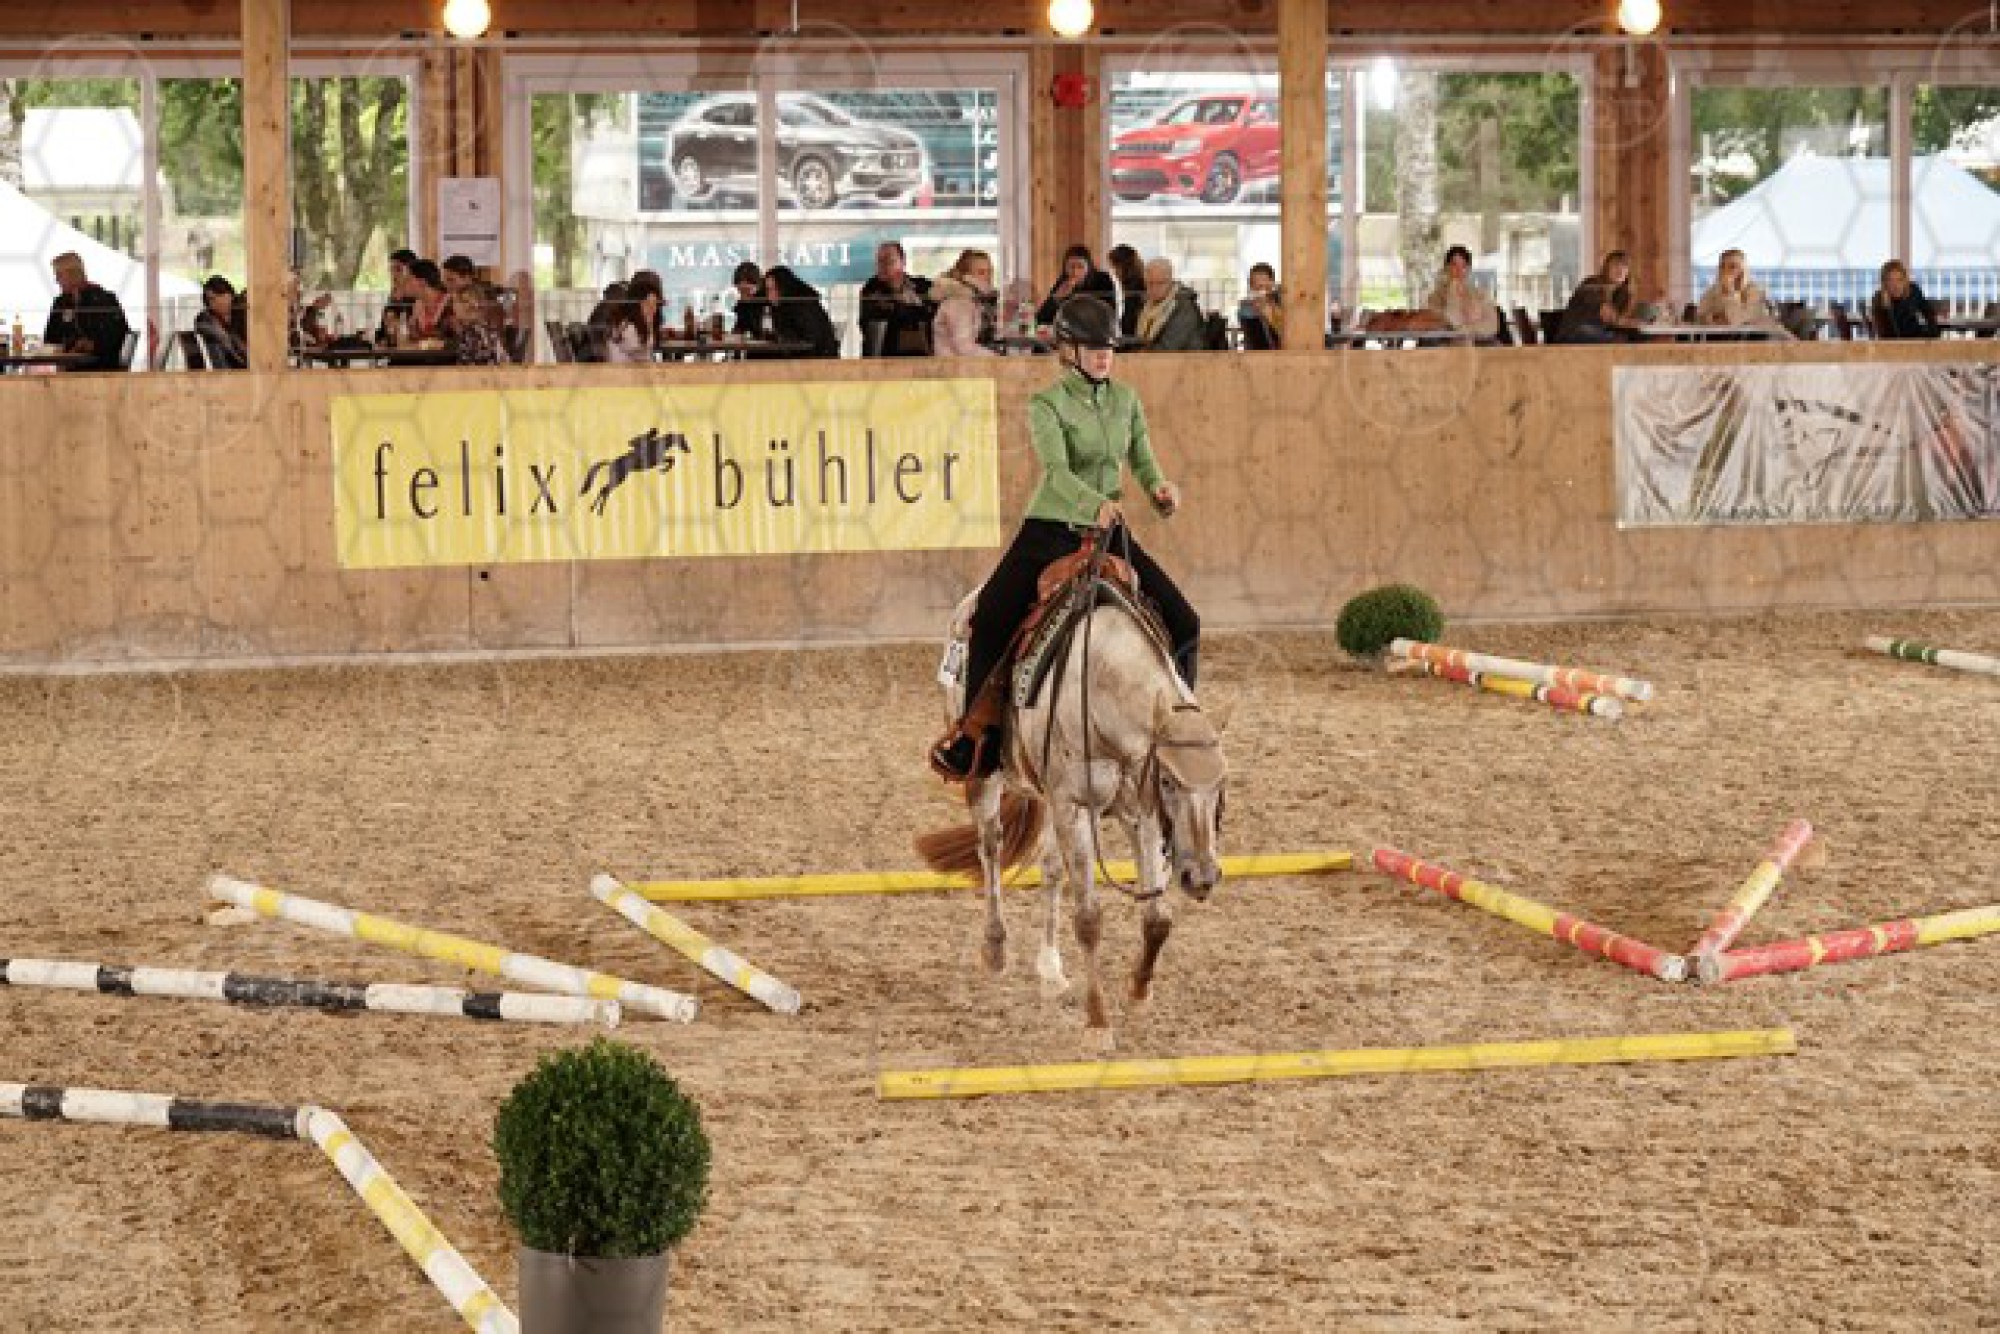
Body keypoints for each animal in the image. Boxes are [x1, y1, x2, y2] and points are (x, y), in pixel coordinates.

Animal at [916, 575, 1229, 1042]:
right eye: (1169, 781)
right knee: (990, 849)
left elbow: (1157, 918)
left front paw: (1138, 991)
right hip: (986, 777)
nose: (1202, 878)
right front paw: (1097, 1021)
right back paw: (995, 947)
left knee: (1050, 869)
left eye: (1221, 784)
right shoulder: (1074, 806)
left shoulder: (1141, 814)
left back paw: (1050, 968)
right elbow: (1089, 918)